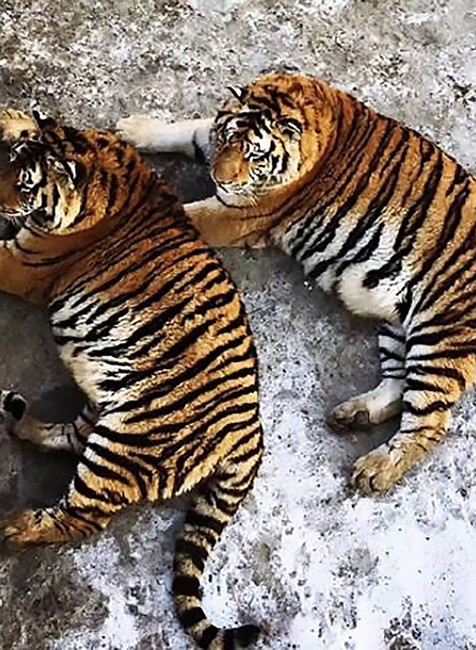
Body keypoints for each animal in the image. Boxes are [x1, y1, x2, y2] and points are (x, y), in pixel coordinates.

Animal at [0, 108, 263, 650]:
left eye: (26, 184)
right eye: (8, 165)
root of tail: (253, 432)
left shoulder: (21, 264)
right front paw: (14, 119)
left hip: (128, 440)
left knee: (81, 517)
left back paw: (12, 529)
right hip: (106, 406)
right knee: (66, 437)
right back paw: (16, 417)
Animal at [117, 71, 476, 495]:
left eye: (256, 156)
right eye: (229, 138)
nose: (218, 179)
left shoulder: (236, 215)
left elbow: (179, 213)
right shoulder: (211, 142)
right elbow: (186, 128)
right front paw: (133, 128)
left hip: (439, 334)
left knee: (430, 422)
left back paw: (375, 470)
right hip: (397, 324)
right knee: (397, 384)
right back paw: (354, 415)